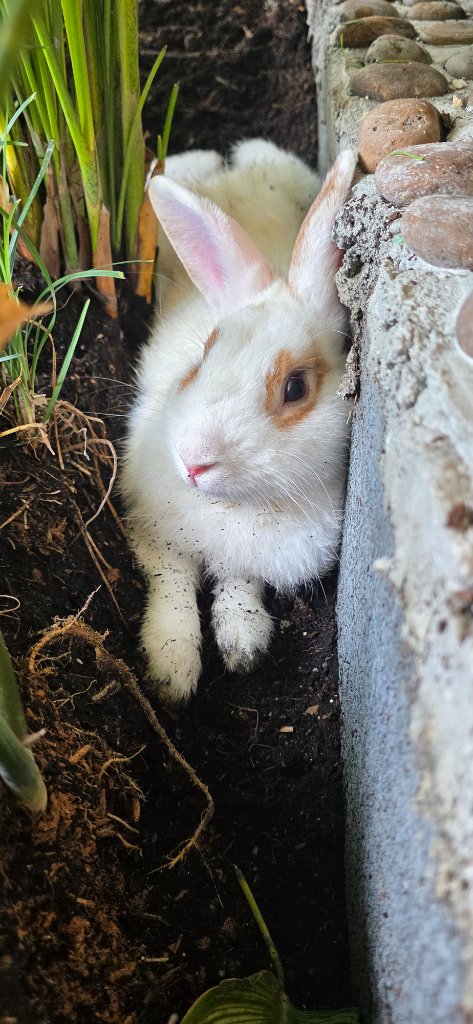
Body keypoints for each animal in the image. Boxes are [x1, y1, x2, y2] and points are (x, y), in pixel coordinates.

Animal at [122, 139, 357, 703]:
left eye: (295, 388)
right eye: (204, 355)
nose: (192, 462)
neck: (232, 509)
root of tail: (228, 162)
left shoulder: (254, 563)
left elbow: (238, 584)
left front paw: (242, 644)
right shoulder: (156, 537)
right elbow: (173, 587)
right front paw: (171, 671)